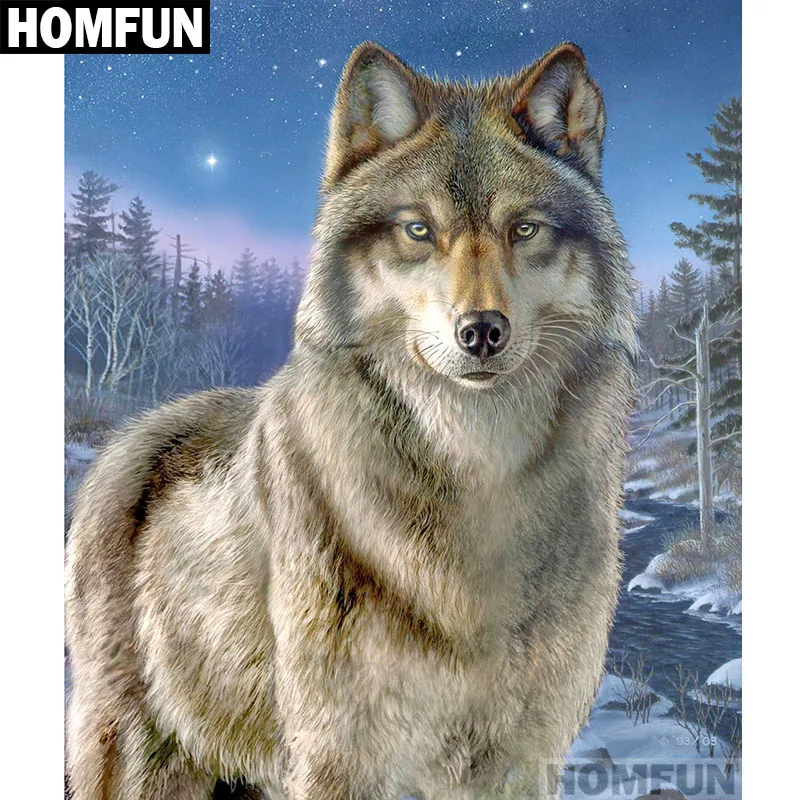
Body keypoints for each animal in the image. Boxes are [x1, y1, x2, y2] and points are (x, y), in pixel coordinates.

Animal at [66, 41, 637, 799]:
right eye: (418, 229)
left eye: (525, 230)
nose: (482, 332)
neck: (476, 481)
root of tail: (135, 435)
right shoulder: (340, 754)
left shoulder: (521, 759)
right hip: (142, 756)